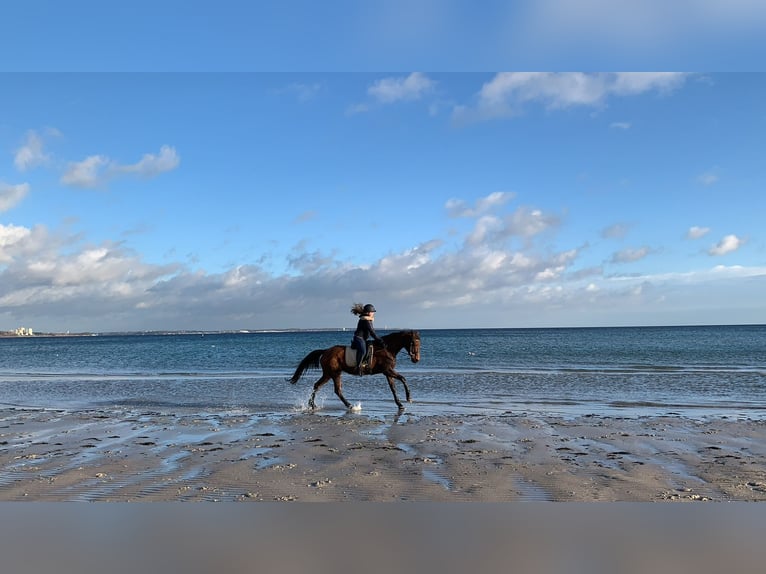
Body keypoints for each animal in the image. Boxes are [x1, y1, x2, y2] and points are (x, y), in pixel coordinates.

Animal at [288, 330, 420, 412]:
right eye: (414, 343)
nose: (416, 359)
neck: (386, 349)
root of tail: (326, 351)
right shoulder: (387, 370)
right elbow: (403, 378)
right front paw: (409, 398)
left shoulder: (388, 372)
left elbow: (393, 388)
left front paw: (400, 405)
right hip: (334, 373)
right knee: (336, 390)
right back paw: (351, 406)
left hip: (329, 374)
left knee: (317, 386)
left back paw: (312, 405)